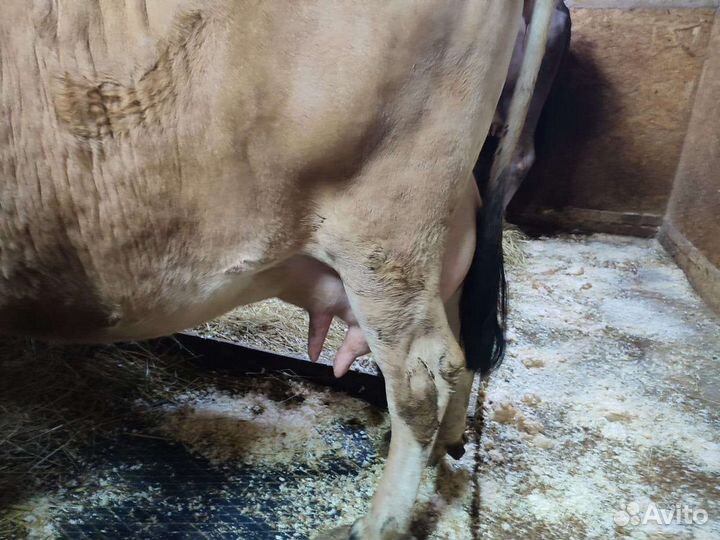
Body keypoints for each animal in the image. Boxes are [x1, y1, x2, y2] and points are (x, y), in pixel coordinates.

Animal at [0, 1, 555, 538]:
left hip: (386, 242)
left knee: (422, 378)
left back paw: (378, 524)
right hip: (432, 255)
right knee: (460, 348)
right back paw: (444, 448)